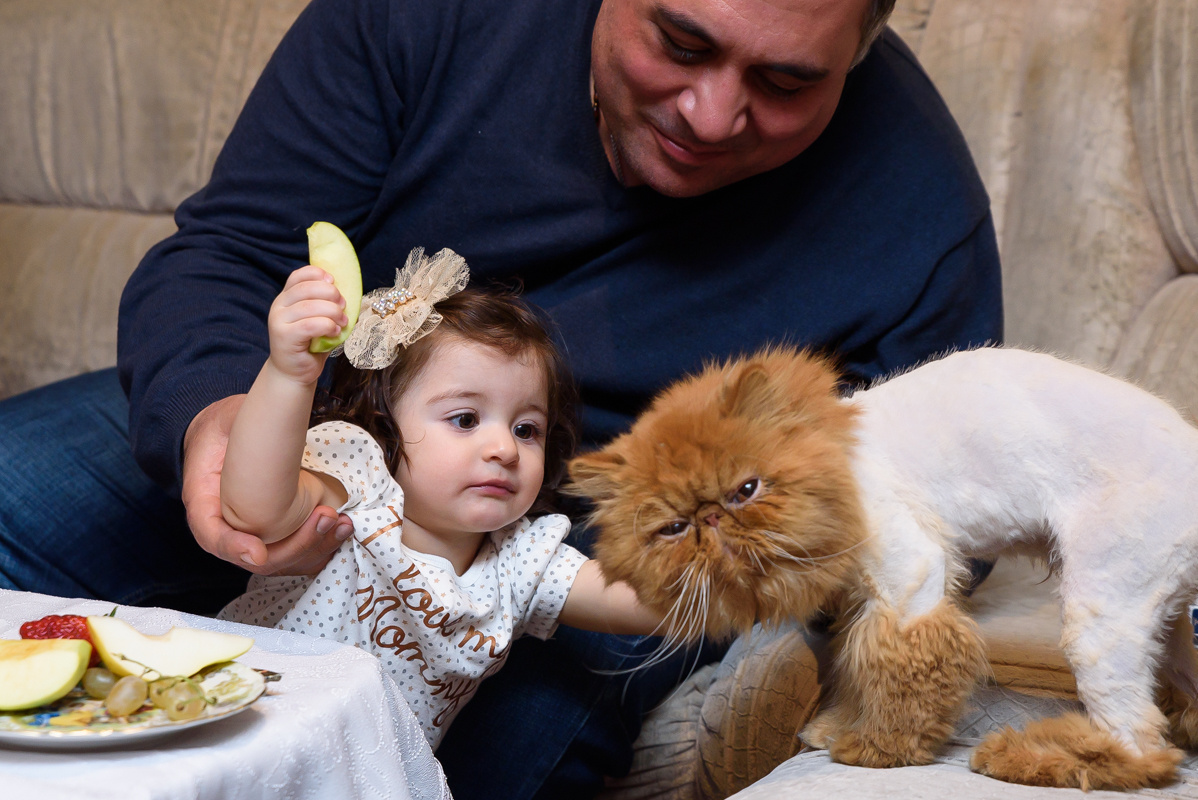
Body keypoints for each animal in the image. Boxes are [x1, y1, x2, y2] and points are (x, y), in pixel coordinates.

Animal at [567, 347, 1198, 790]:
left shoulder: (910, 579)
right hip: (1165, 629)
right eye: (673, 528)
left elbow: (899, 672)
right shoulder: (855, 604)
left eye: (747, 489)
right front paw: (841, 726)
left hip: (1099, 614)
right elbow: (856, 668)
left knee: (1139, 746)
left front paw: (879, 750)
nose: (711, 519)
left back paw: (1028, 756)